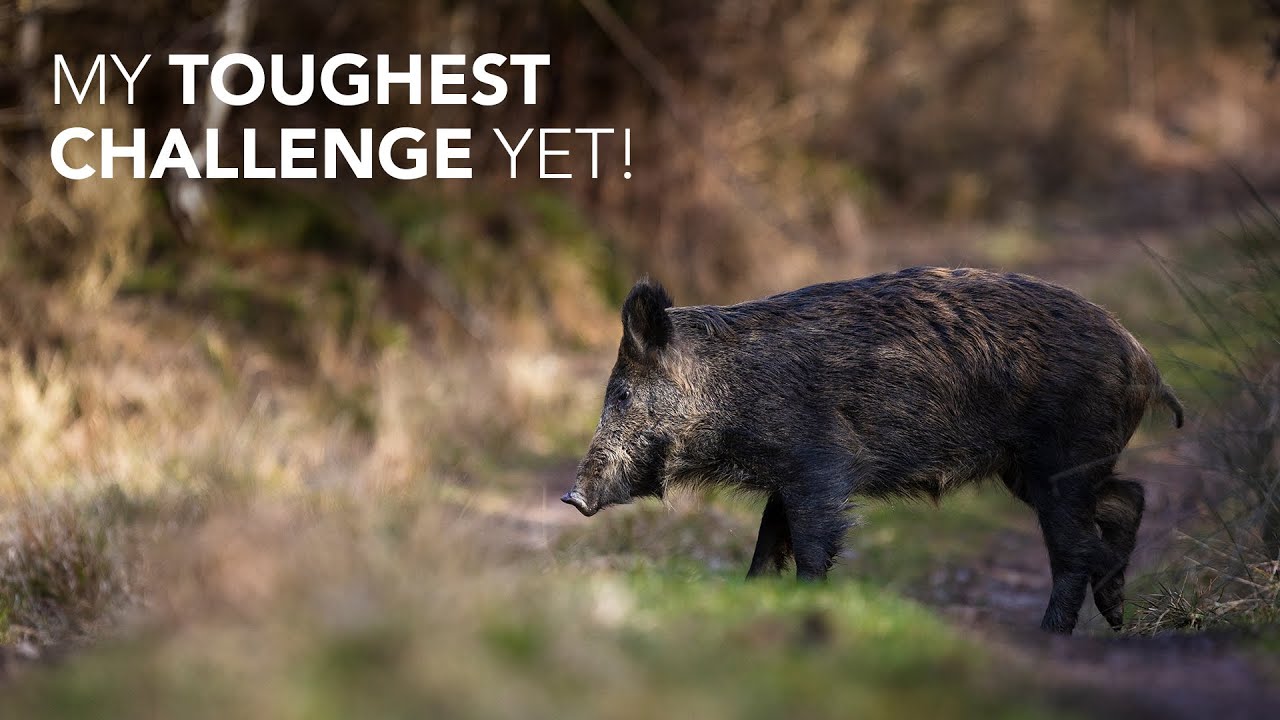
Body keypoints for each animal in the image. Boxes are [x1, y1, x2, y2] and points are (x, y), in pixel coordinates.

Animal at [562, 267, 1184, 634]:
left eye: (621, 393)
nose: (573, 496)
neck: (731, 391)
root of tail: (1144, 362)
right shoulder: (790, 475)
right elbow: (769, 538)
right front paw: (754, 594)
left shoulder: (818, 465)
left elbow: (811, 544)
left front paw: (806, 602)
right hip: (1034, 470)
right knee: (1126, 496)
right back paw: (1115, 617)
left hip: (1061, 460)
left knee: (1076, 547)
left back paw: (1053, 633)